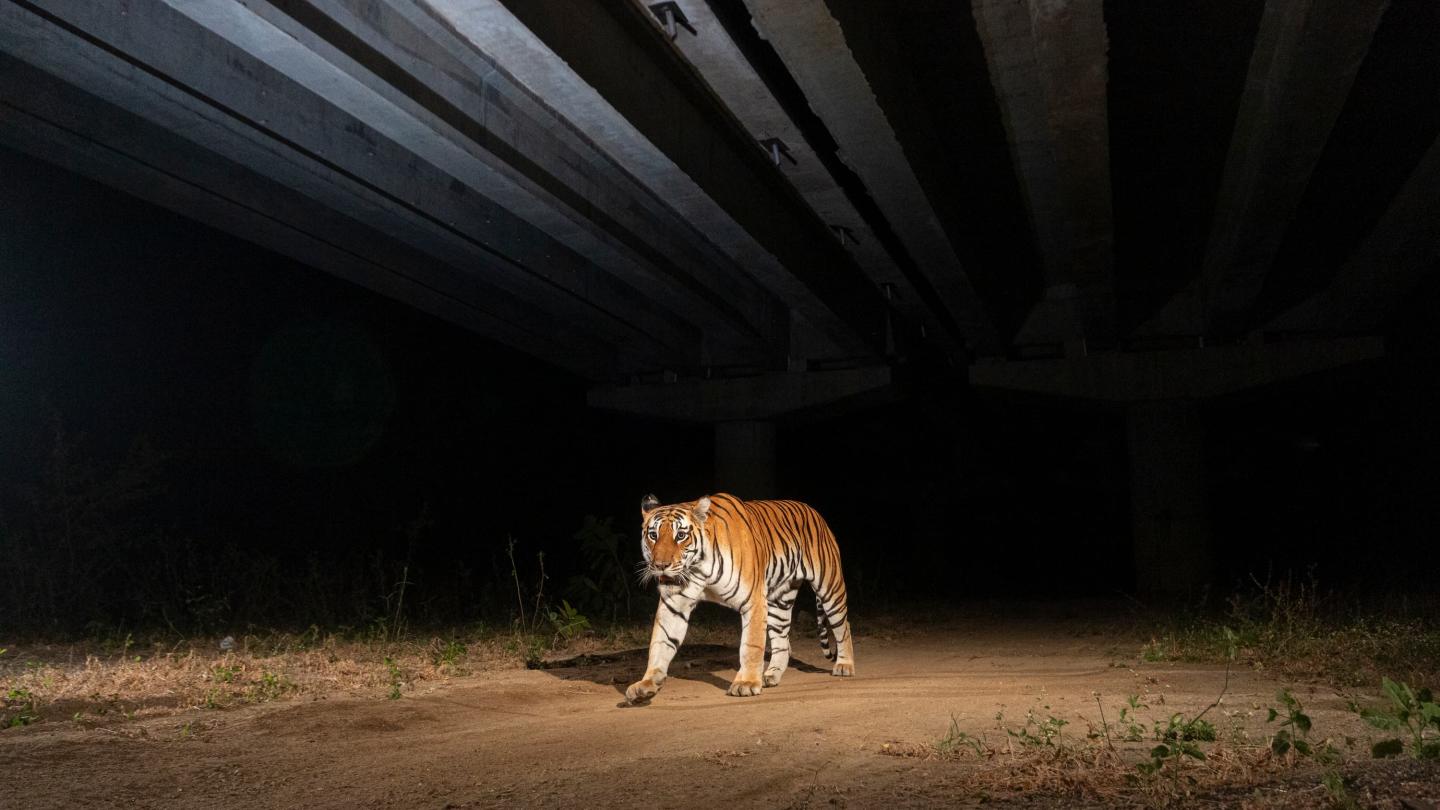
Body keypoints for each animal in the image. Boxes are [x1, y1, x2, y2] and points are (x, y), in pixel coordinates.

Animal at [625, 492, 854, 704]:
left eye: (680, 535)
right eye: (653, 535)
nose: (660, 565)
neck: (698, 569)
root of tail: (813, 511)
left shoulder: (754, 601)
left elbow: (751, 645)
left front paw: (746, 683)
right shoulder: (674, 606)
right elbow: (660, 643)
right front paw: (646, 684)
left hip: (829, 586)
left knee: (842, 626)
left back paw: (844, 665)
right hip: (779, 600)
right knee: (782, 639)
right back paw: (771, 675)